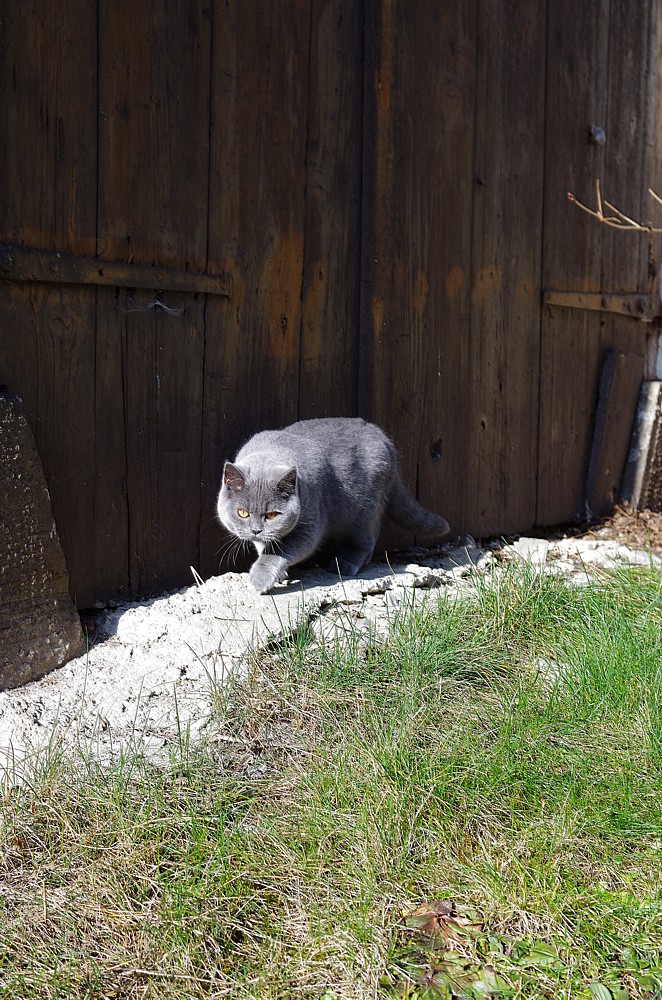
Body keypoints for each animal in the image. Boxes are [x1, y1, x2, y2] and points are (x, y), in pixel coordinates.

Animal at [218, 416, 452, 592]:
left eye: (272, 515)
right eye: (242, 513)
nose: (256, 530)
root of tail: (384, 439)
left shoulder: (310, 524)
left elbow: (280, 550)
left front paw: (260, 579)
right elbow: (265, 546)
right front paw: (279, 572)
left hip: (365, 509)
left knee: (366, 538)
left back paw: (345, 564)